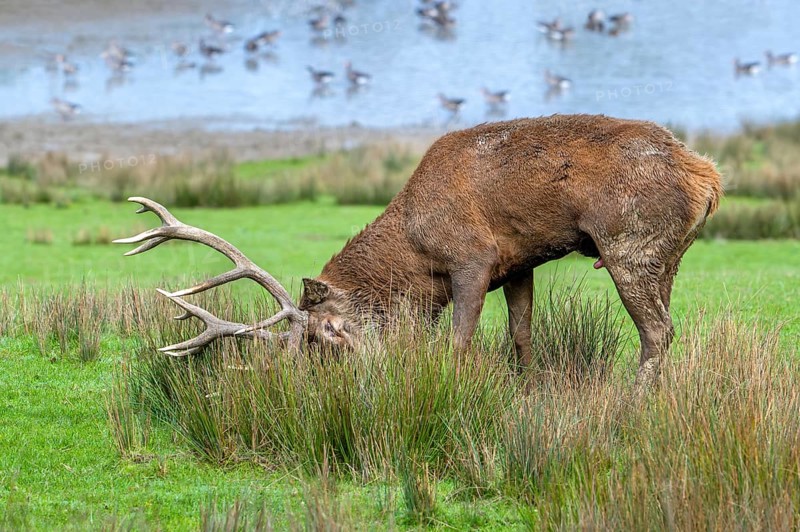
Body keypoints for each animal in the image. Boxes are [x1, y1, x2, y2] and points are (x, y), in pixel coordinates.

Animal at [115, 114, 722, 390]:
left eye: (328, 333)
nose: (361, 373)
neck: (415, 251)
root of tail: (708, 177)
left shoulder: (473, 257)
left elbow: (457, 340)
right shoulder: (518, 262)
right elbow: (521, 334)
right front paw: (527, 386)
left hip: (629, 242)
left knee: (657, 329)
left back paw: (634, 399)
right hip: (668, 254)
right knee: (667, 323)